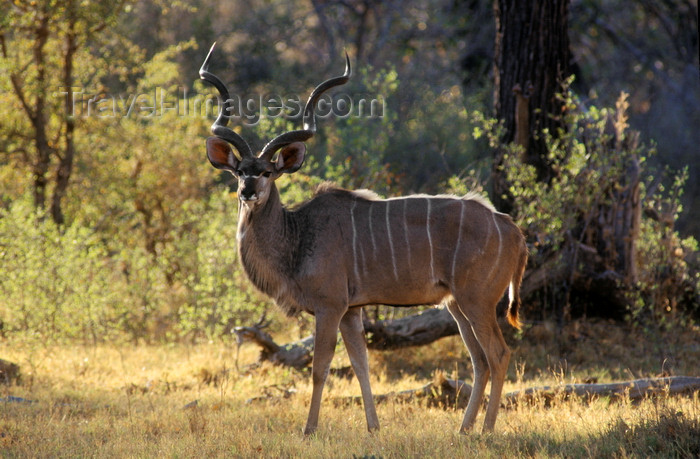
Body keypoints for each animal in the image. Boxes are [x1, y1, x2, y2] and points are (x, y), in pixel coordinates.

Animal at [197, 45, 524, 436]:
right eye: (239, 172)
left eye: (266, 173)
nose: (247, 192)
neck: (298, 234)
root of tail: (510, 227)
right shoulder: (352, 310)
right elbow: (361, 364)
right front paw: (373, 428)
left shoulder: (330, 306)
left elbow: (320, 368)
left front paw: (309, 431)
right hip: (456, 304)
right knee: (480, 360)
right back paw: (462, 430)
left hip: (477, 301)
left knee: (499, 354)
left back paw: (486, 431)